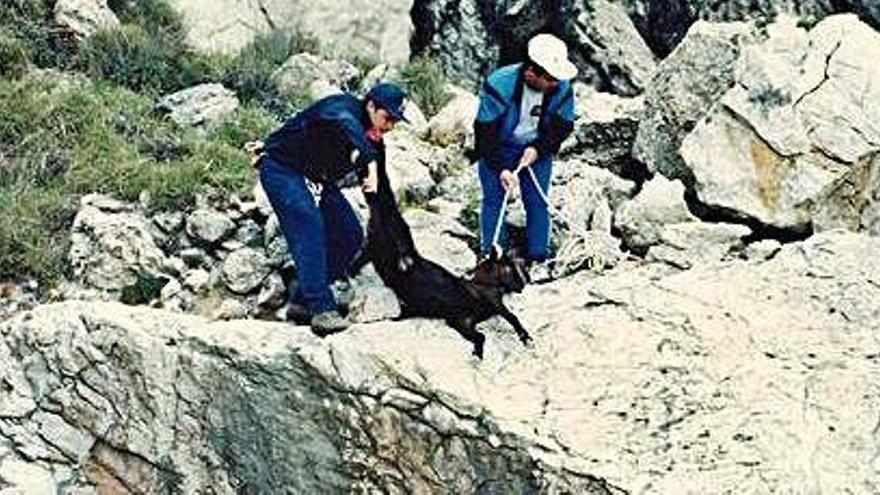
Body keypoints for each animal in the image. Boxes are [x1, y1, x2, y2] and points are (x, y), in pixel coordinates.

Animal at [348, 163, 528, 360]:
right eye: (510, 268)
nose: (522, 286)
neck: (480, 285)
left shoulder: (465, 319)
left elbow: (491, 328)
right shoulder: (472, 313)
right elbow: (496, 326)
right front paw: (483, 353)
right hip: (380, 246)